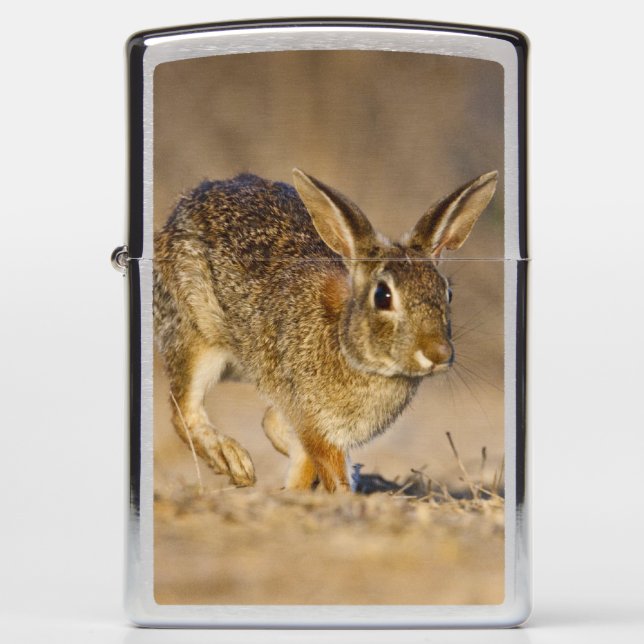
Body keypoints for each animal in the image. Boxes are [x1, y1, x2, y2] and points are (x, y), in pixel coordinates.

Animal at [154, 168, 497, 492]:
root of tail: (186, 203)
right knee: (183, 409)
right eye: (383, 296)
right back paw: (233, 461)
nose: (438, 353)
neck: (348, 346)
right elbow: (328, 469)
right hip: (197, 335)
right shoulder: (314, 423)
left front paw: (299, 490)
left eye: (447, 293)